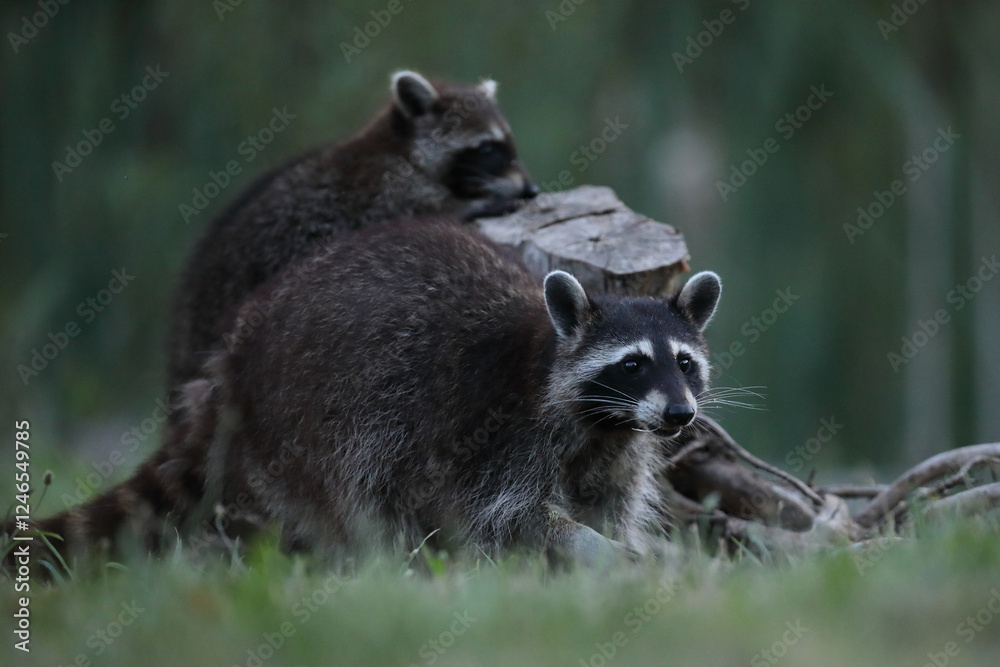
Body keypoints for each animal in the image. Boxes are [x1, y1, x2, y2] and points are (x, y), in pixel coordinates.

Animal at [166, 70, 537, 400]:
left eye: (508, 143)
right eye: (488, 149)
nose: (530, 189)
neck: (399, 146)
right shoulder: (387, 187)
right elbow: (424, 209)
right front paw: (483, 202)